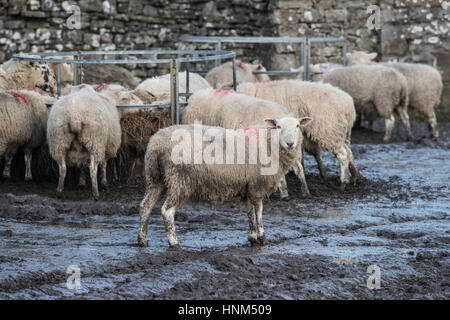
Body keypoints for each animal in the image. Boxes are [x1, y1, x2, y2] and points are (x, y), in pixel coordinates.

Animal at [137, 116, 312, 249]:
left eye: (297, 126)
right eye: (279, 126)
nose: (290, 144)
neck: (268, 144)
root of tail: (156, 144)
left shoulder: (247, 185)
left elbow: (249, 212)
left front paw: (252, 237)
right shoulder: (257, 185)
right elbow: (259, 211)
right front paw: (262, 237)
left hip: (155, 177)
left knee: (145, 206)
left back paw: (142, 240)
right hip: (180, 179)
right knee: (167, 211)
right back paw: (174, 242)